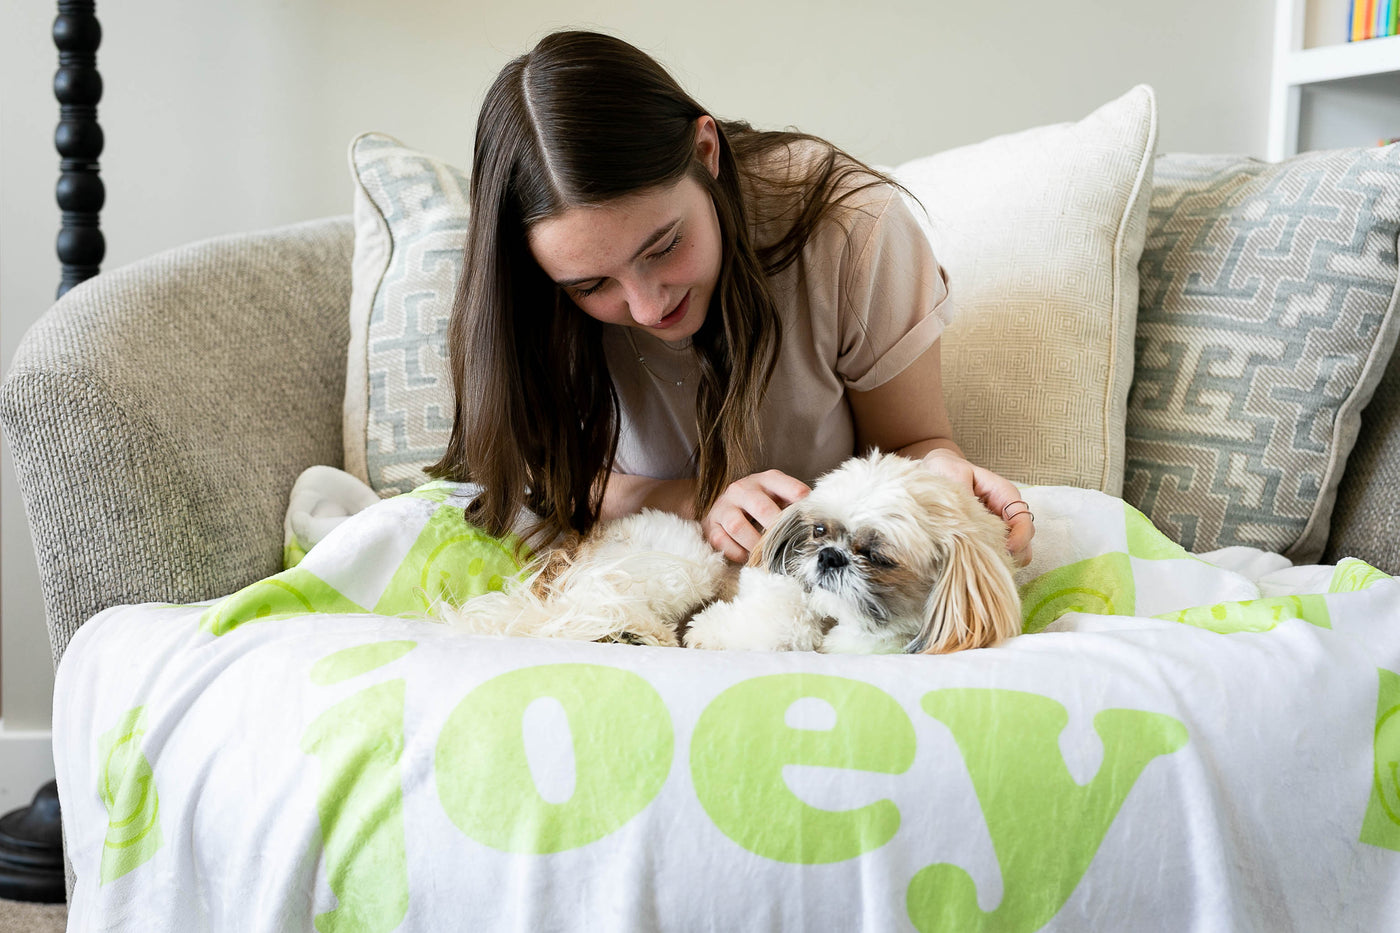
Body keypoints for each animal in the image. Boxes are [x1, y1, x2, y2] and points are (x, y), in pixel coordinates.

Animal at [431, 451, 1024, 652]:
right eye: (819, 531)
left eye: (876, 556)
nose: (830, 558)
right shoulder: (771, 586)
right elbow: (773, 620)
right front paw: (710, 635)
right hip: (688, 564)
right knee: (593, 602)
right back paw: (635, 633)